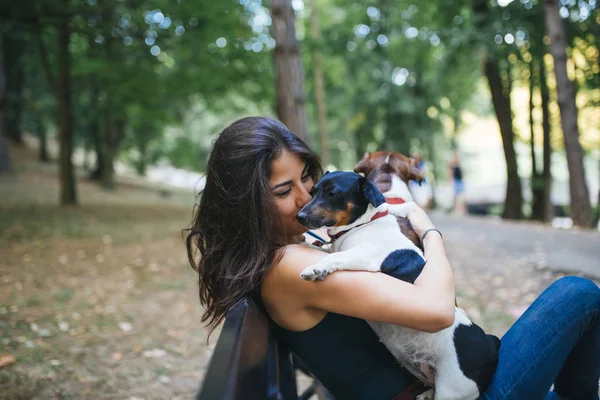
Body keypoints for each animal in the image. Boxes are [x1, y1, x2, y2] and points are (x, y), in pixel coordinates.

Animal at [298, 171, 500, 400]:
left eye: (332, 193)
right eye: (313, 191)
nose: (299, 217)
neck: (362, 225)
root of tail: (490, 345)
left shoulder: (366, 255)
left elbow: (335, 257)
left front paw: (316, 268)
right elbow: (325, 250)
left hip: (453, 389)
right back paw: (426, 393)